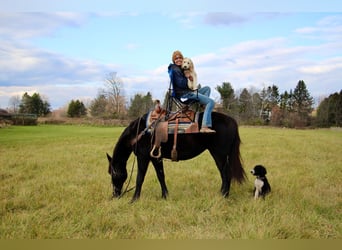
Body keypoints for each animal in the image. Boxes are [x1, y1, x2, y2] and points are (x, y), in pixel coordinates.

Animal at [107, 110, 246, 202]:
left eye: (113, 173)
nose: (115, 195)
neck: (139, 132)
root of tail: (232, 121)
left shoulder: (143, 157)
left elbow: (139, 178)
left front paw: (134, 199)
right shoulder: (155, 158)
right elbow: (161, 176)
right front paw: (165, 196)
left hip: (219, 154)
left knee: (226, 174)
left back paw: (223, 196)